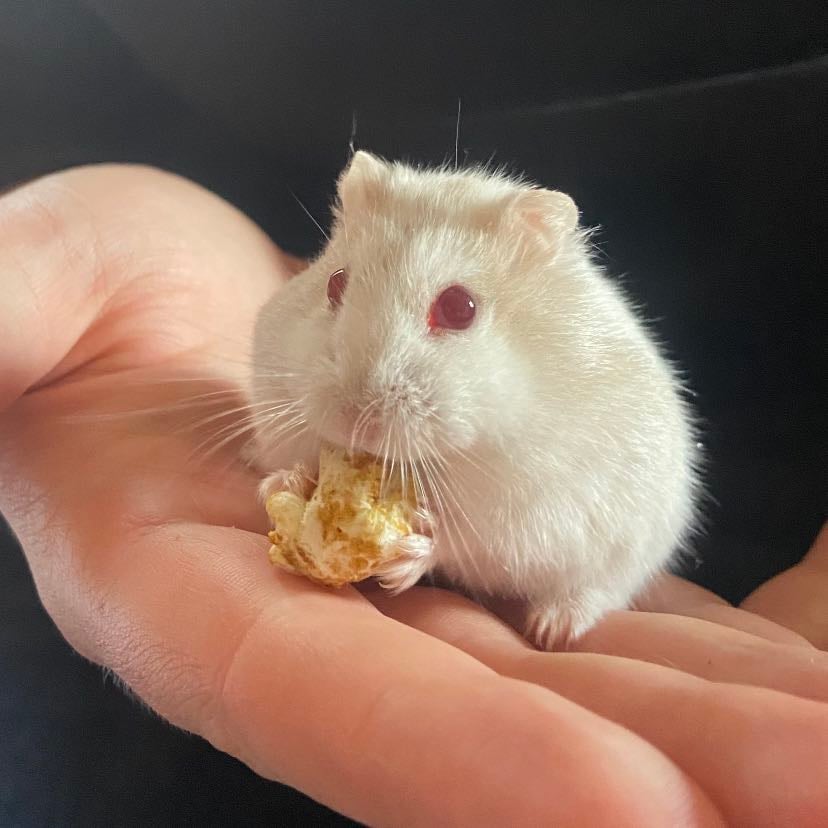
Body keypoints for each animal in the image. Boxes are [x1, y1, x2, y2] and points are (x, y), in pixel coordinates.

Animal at [248, 150, 699, 650]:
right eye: (334, 284)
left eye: (459, 308)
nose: (353, 422)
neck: (453, 455)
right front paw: (283, 483)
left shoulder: (530, 506)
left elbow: (467, 539)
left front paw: (406, 560)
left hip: (633, 545)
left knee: (598, 590)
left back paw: (551, 629)